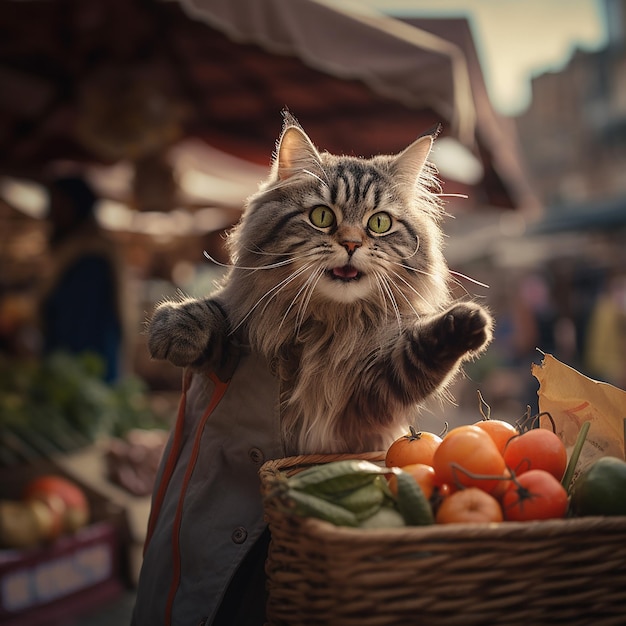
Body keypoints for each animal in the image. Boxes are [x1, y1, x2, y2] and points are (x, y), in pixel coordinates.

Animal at [147, 112, 492, 454]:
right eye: (322, 216)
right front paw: (175, 330)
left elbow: (418, 353)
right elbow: (214, 309)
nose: (352, 244)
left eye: (379, 223)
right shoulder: (240, 330)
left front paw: (468, 323)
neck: (328, 323)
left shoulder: (369, 392)